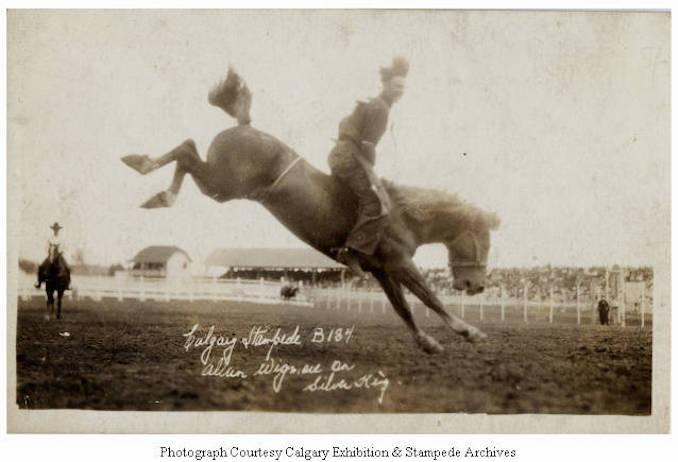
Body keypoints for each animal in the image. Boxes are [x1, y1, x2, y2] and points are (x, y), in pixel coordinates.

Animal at [122, 68, 500, 352]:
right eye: (484, 241)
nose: (476, 286)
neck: (403, 217)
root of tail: (245, 126)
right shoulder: (399, 262)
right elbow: (429, 297)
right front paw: (469, 331)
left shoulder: (381, 270)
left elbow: (403, 306)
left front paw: (427, 343)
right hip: (222, 184)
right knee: (186, 153)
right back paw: (150, 179)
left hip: (221, 187)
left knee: (187, 151)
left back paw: (148, 180)